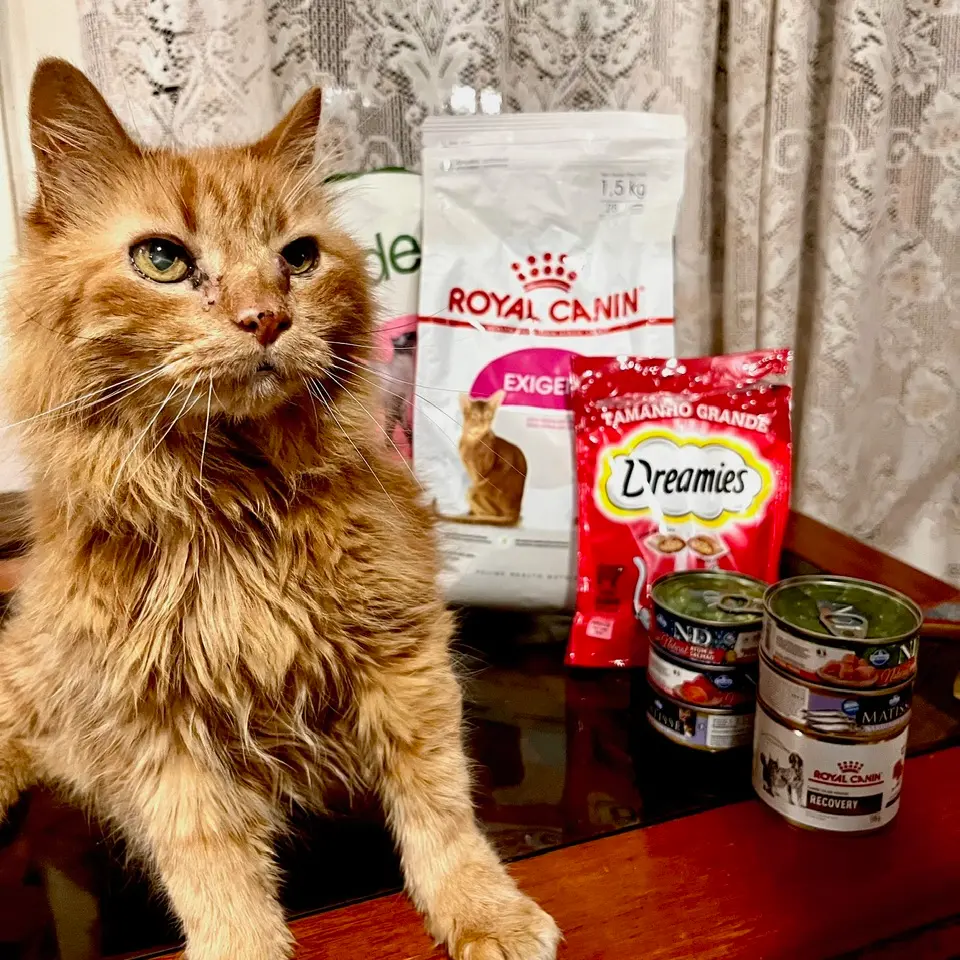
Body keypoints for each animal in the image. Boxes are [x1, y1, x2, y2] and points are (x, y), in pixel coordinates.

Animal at [435, 391, 528, 527]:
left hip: (482, 486)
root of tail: (515, 512)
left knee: (491, 509)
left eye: (488, 415)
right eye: (475, 415)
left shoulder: (480, 472)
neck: (472, 441)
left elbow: (476, 485)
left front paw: (472, 514)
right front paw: (471, 513)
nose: (484, 423)